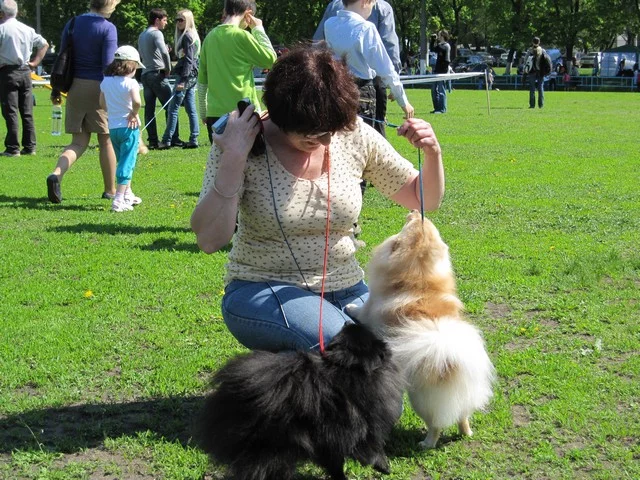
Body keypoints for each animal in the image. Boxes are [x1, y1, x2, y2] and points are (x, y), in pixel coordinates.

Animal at [195, 323, 404, 480]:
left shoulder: (328, 441)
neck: (351, 370)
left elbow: (335, 463)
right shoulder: (359, 427)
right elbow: (370, 448)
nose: (348, 321)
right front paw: (382, 465)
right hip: (272, 448)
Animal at [347, 210, 495, 449]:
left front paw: (350, 307)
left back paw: (426, 443)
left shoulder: (370, 307)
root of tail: (450, 362)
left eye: (412, 222)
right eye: (420, 221)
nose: (415, 211)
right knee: (463, 416)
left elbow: (360, 310)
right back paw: (466, 433)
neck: (421, 279)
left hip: (420, 400)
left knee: (436, 425)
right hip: (463, 397)